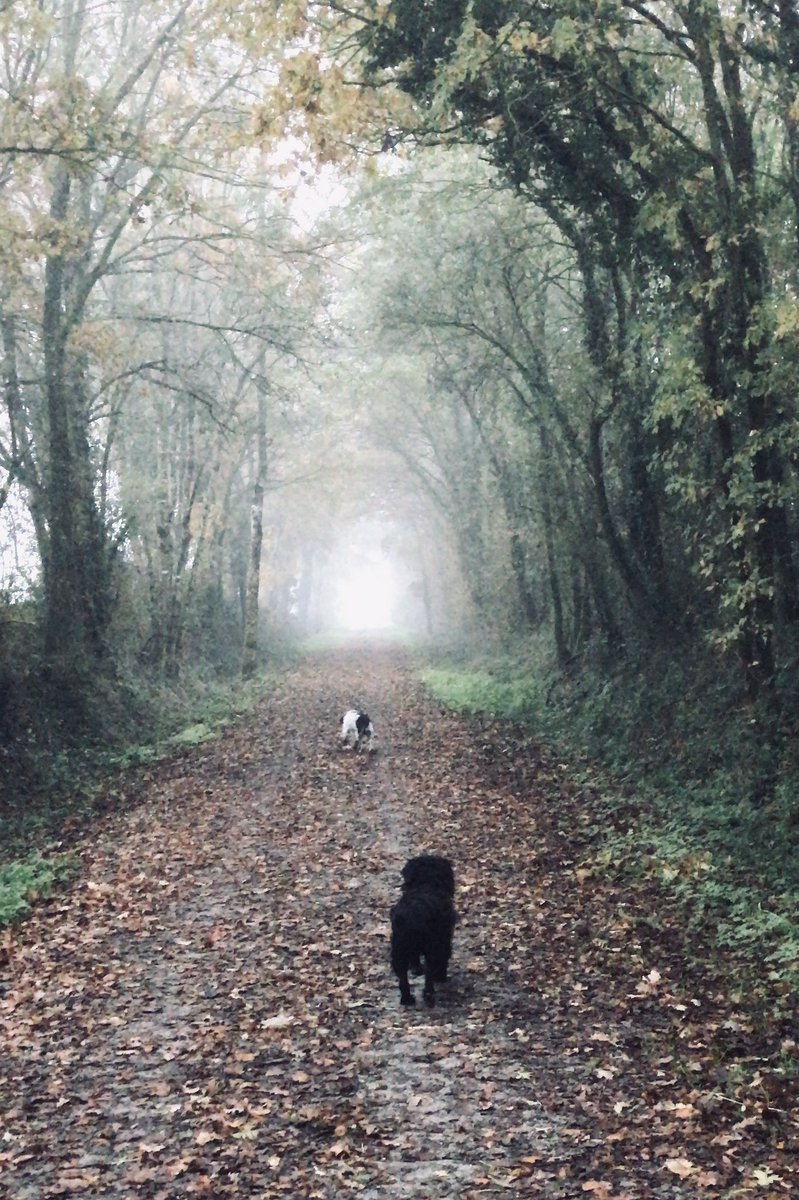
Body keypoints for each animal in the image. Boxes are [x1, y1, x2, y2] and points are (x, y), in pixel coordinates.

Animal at [391, 849, 458, 1008]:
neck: (426, 884)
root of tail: (412, 915)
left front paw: (416, 969)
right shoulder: (444, 939)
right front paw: (441, 977)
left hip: (399, 948)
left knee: (402, 976)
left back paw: (407, 999)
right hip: (432, 946)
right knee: (429, 973)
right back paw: (429, 995)